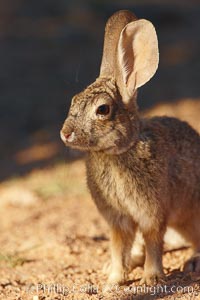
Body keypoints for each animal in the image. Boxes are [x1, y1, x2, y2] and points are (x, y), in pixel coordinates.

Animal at [60, 9, 200, 286]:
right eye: (74, 100)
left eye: (103, 110)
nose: (65, 133)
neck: (119, 152)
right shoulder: (117, 219)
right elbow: (118, 246)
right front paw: (114, 280)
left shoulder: (151, 213)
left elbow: (154, 241)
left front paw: (152, 279)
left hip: (192, 215)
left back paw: (193, 261)